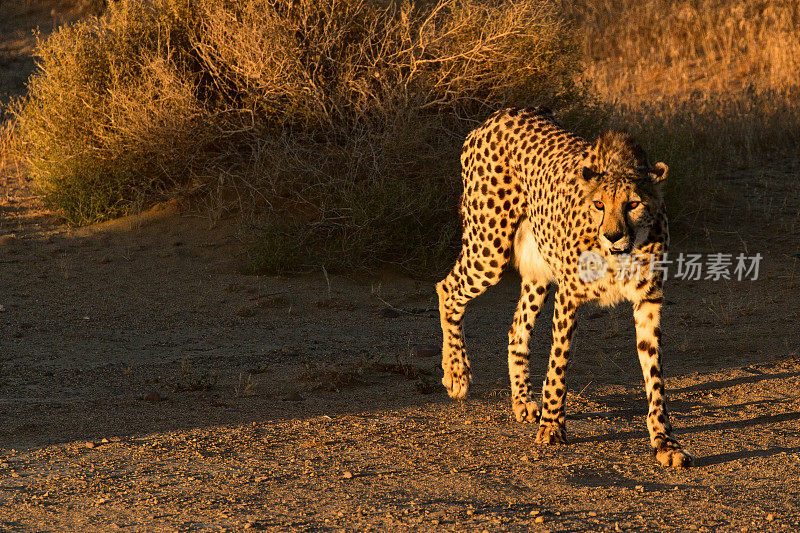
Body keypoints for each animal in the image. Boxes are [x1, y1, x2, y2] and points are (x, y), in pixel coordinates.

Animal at [434, 106, 692, 468]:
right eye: (598, 204)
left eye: (633, 204)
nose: (612, 235)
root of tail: (500, 114)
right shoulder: (569, 293)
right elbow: (559, 363)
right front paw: (553, 426)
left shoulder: (648, 300)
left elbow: (654, 376)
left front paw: (665, 442)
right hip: (490, 250)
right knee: (448, 289)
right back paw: (457, 373)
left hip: (538, 270)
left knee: (516, 329)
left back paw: (522, 401)